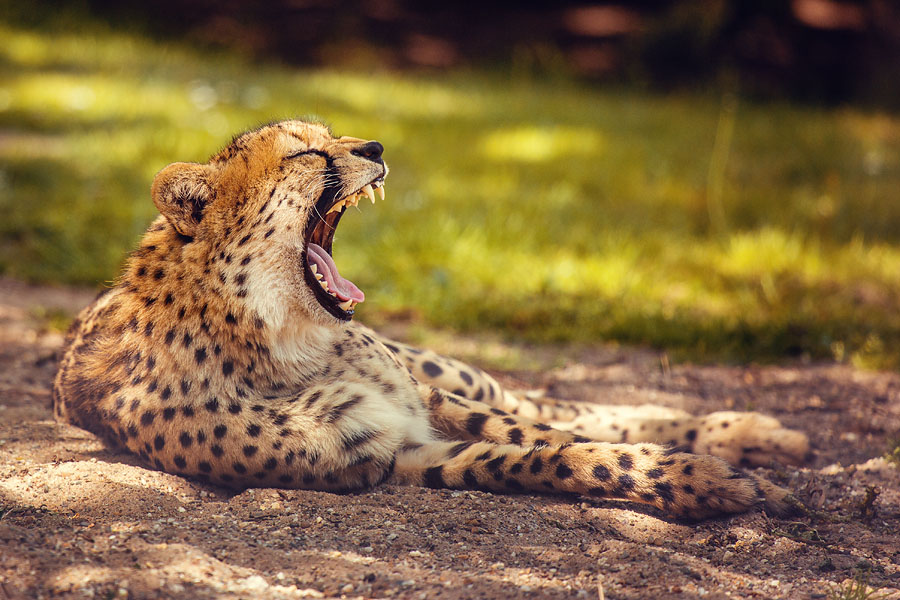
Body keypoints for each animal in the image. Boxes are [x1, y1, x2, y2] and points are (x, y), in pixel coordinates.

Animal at [53, 119, 810, 520]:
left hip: (446, 371)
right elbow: (539, 459)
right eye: (307, 152)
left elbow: (555, 435)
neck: (279, 336)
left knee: (551, 402)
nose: (376, 148)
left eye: (335, 135)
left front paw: (711, 472)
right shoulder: (392, 454)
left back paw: (750, 432)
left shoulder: (429, 400)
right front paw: (711, 481)